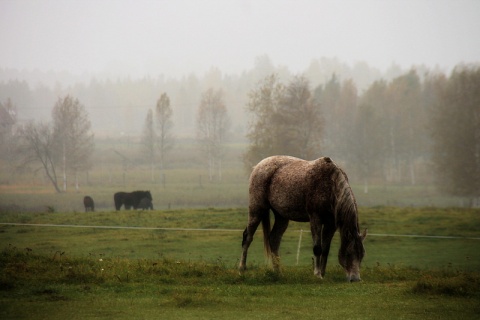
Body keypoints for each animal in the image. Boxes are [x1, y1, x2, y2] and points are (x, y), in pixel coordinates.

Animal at [240, 156, 368, 282]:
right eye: (348, 254)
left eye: (362, 255)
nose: (356, 279)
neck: (330, 183)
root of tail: (259, 165)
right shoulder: (315, 218)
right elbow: (318, 248)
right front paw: (317, 274)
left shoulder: (331, 224)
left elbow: (325, 249)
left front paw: (323, 273)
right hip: (257, 210)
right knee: (248, 237)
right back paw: (242, 269)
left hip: (281, 216)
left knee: (274, 239)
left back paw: (278, 272)